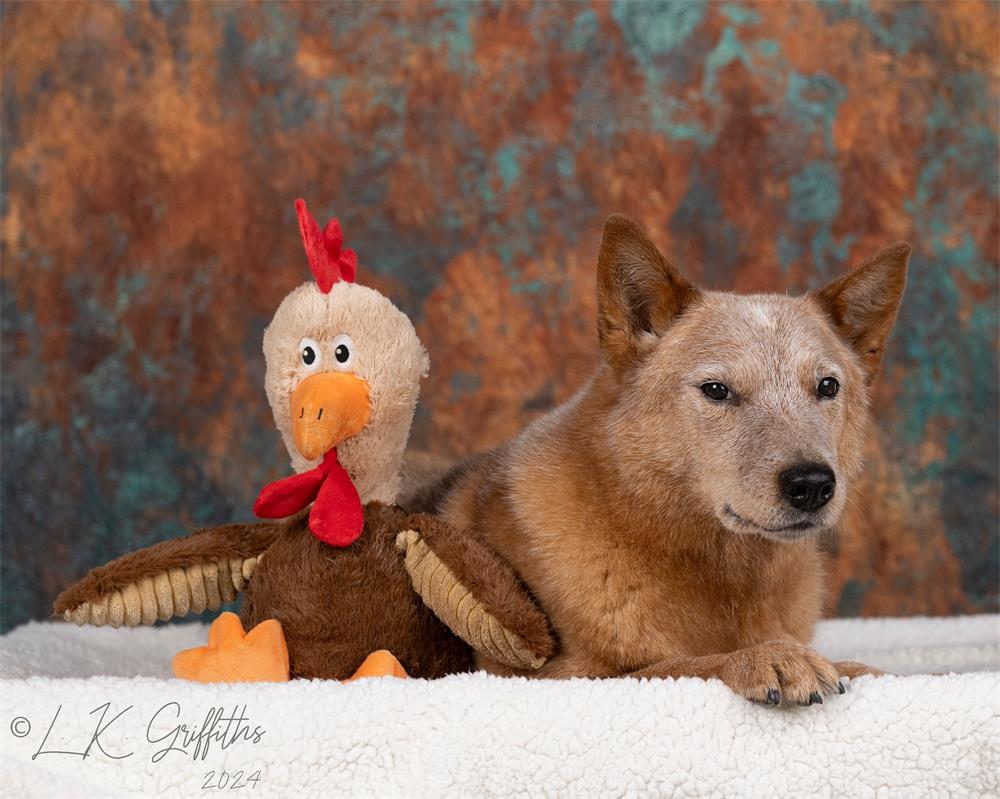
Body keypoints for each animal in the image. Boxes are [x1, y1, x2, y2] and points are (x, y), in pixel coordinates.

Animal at [410, 212, 912, 708]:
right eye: (716, 390)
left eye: (827, 386)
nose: (811, 485)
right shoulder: (552, 677)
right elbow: (678, 665)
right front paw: (764, 656)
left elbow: (867, 670)